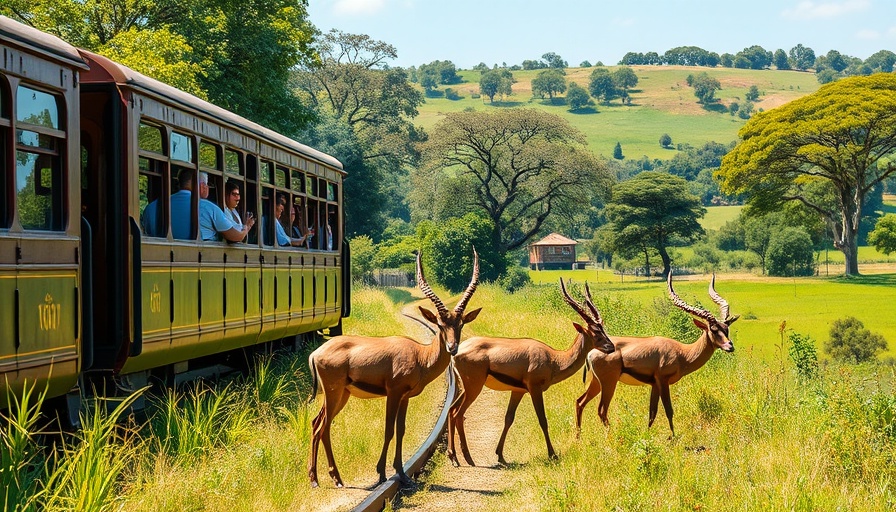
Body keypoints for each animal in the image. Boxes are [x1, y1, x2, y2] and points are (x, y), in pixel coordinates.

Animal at [308, 250, 480, 486]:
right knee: (322, 427)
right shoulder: (393, 393)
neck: (420, 356)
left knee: (317, 424)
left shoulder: (405, 397)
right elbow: (389, 430)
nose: (452, 347)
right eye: (440, 324)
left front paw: (402, 474)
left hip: (340, 395)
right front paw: (381, 473)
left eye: (460, 324)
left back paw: (325, 478)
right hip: (334, 393)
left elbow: (401, 430)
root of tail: (316, 353)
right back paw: (327, 479)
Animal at [448, 278, 616, 466]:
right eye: (595, 333)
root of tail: (456, 352)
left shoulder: (518, 391)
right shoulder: (535, 389)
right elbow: (542, 419)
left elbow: (508, 418)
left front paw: (501, 455)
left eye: (603, 329)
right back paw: (467, 458)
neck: (554, 359)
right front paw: (552, 454)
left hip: (466, 388)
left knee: (451, 411)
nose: (611, 347)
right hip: (474, 387)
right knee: (458, 414)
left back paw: (454, 457)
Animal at [576, 274, 740, 438]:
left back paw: (579, 436)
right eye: (713, 329)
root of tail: (591, 352)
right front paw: (673, 438)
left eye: (726, 329)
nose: (730, 346)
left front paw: (648, 435)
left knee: (580, 402)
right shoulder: (663, 381)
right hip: (609, 383)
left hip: (596, 383)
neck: (682, 353)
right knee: (602, 410)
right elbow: (669, 410)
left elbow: (652, 413)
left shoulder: (654, 384)